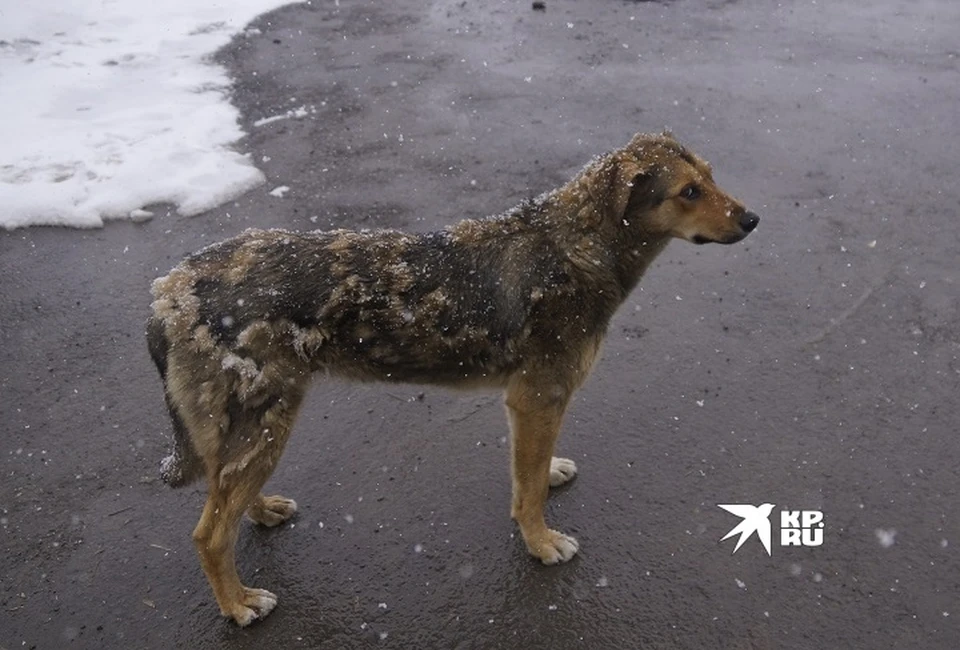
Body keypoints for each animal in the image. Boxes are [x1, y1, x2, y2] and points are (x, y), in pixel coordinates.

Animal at [144, 132, 756, 624]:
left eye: (711, 176)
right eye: (688, 192)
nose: (753, 220)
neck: (575, 248)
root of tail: (169, 292)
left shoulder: (530, 405)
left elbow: (531, 473)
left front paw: (549, 479)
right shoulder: (539, 397)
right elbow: (529, 491)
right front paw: (540, 544)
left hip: (251, 428)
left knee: (225, 494)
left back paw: (263, 510)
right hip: (266, 419)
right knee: (209, 534)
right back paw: (238, 604)